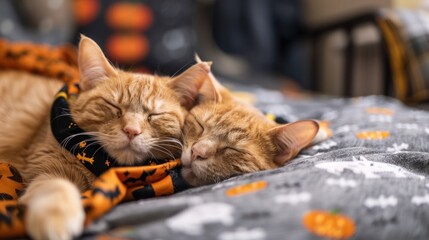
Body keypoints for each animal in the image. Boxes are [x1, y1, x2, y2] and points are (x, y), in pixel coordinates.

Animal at [0, 36, 211, 240]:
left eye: (154, 115)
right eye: (114, 107)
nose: (131, 130)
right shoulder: (45, 168)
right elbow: (57, 187)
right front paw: (56, 219)